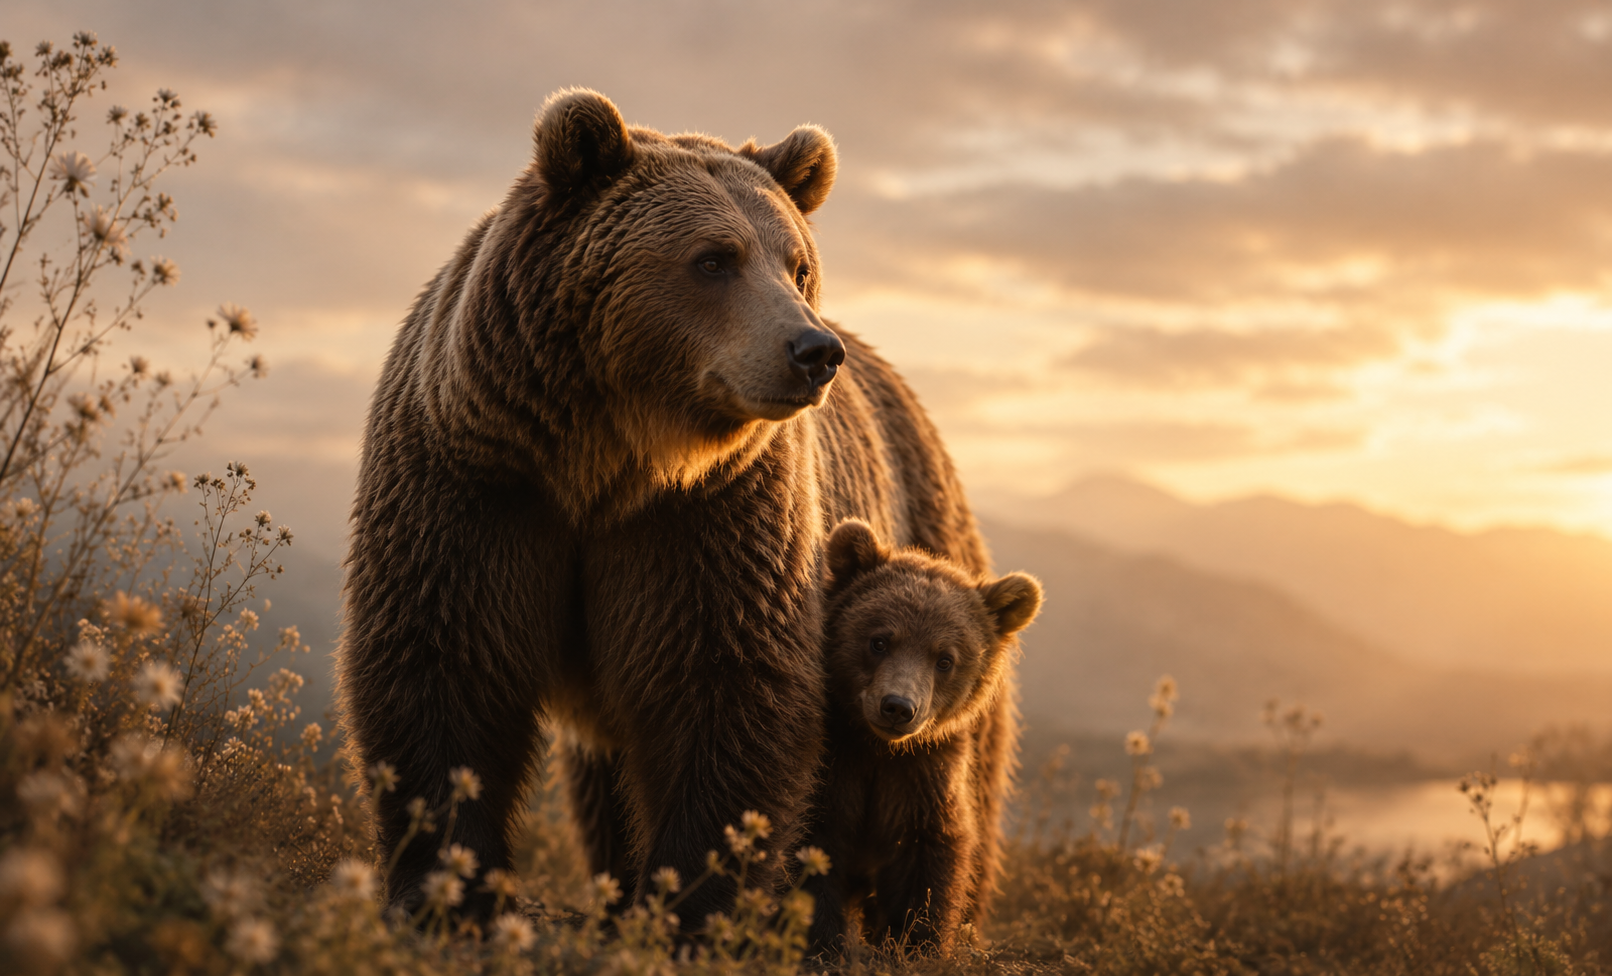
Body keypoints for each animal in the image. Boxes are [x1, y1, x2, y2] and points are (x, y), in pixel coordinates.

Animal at [336, 88, 1010, 928]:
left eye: (799, 265)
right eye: (715, 258)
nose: (813, 351)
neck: (603, 458)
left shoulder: (709, 519)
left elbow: (720, 686)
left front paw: (689, 901)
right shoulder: (479, 480)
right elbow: (446, 663)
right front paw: (448, 887)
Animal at [802, 519, 1042, 953]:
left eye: (945, 659)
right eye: (879, 640)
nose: (897, 707)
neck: (878, 748)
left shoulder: (923, 773)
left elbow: (927, 855)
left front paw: (914, 942)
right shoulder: (840, 763)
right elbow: (818, 843)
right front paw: (824, 942)